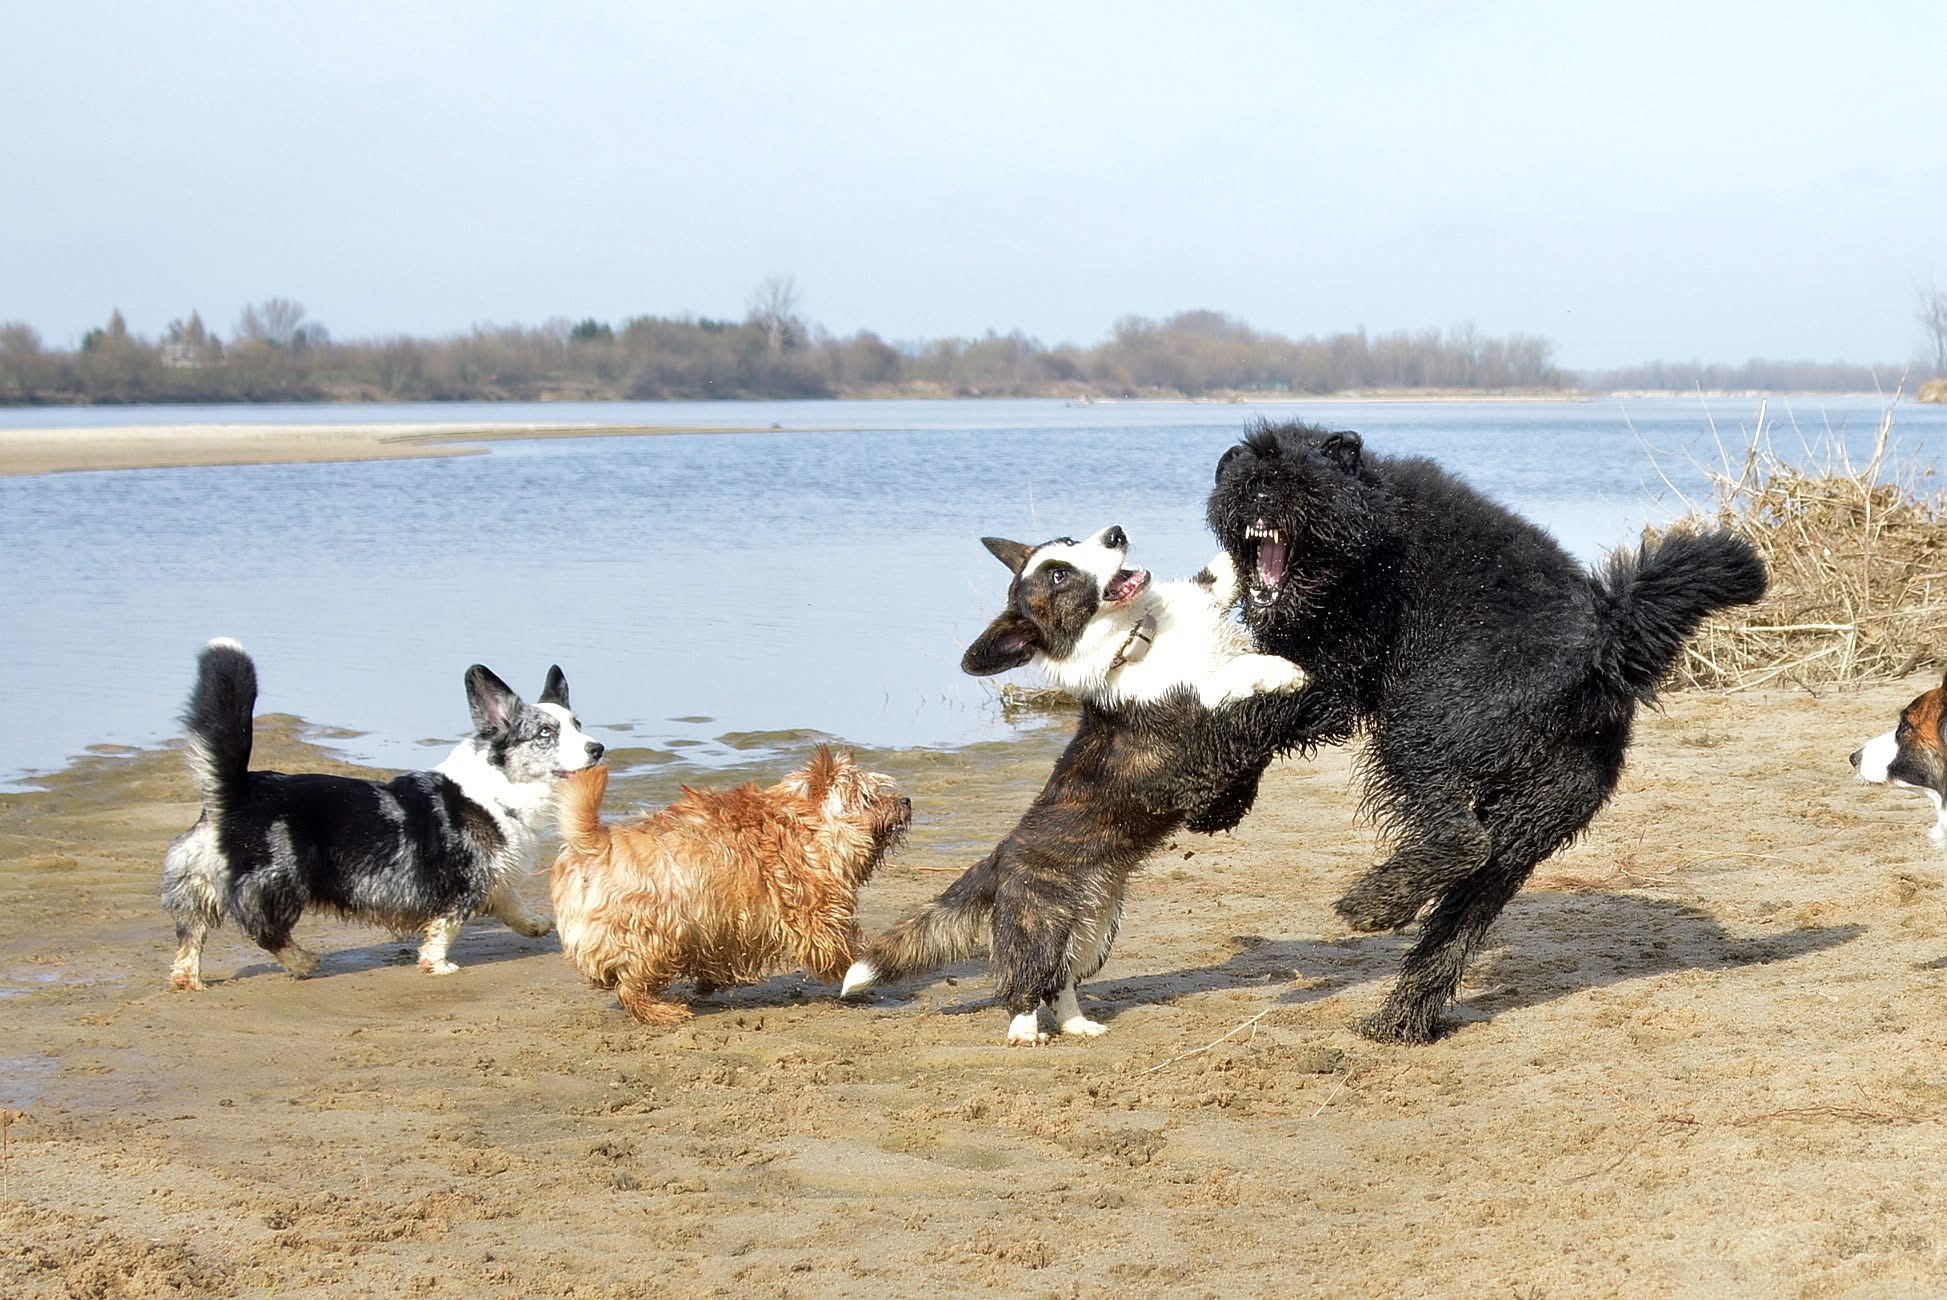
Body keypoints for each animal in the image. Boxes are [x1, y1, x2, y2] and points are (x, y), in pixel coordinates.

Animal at [167, 638, 599, 984]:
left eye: (578, 724)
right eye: (546, 733)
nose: (597, 749)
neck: (499, 787)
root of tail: (236, 790)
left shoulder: (494, 876)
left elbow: (512, 901)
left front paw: (537, 925)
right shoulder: (461, 883)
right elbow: (447, 926)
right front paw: (438, 965)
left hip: (196, 887)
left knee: (191, 935)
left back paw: (188, 979)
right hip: (280, 881)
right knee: (265, 931)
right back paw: (304, 962)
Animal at [549, 751, 911, 1027]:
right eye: (868, 798)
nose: (905, 800)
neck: (804, 822)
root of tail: (596, 843)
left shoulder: (724, 924)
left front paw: (711, 981)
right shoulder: (817, 915)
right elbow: (844, 949)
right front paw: (873, 968)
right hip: (656, 934)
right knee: (631, 987)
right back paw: (662, 1011)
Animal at [841, 521, 1323, 1043]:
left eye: (1069, 543)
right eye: (1058, 577)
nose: (1116, 533)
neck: (1138, 632)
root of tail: (998, 859)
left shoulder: (1208, 596)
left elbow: (1220, 572)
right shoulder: (1197, 709)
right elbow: (1232, 673)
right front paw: (1283, 671)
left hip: (1095, 926)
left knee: (1061, 979)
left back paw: (1077, 1026)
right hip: (1041, 926)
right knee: (1025, 981)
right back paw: (1024, 1032)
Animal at [1199, 424, 1767, 1043]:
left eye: (1299, 480)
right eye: (1248, 477)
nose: (1258, 496)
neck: (1373, 524)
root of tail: (1607, 647)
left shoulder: (1334, 669)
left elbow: (1254, 716)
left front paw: (1212, 791)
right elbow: (1260, 722)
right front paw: (1223, 801)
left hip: (1420, 727)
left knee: (1459, 839)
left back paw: (1374, 905)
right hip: (1539, 811)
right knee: (1463, 908)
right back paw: (1398, 1019)